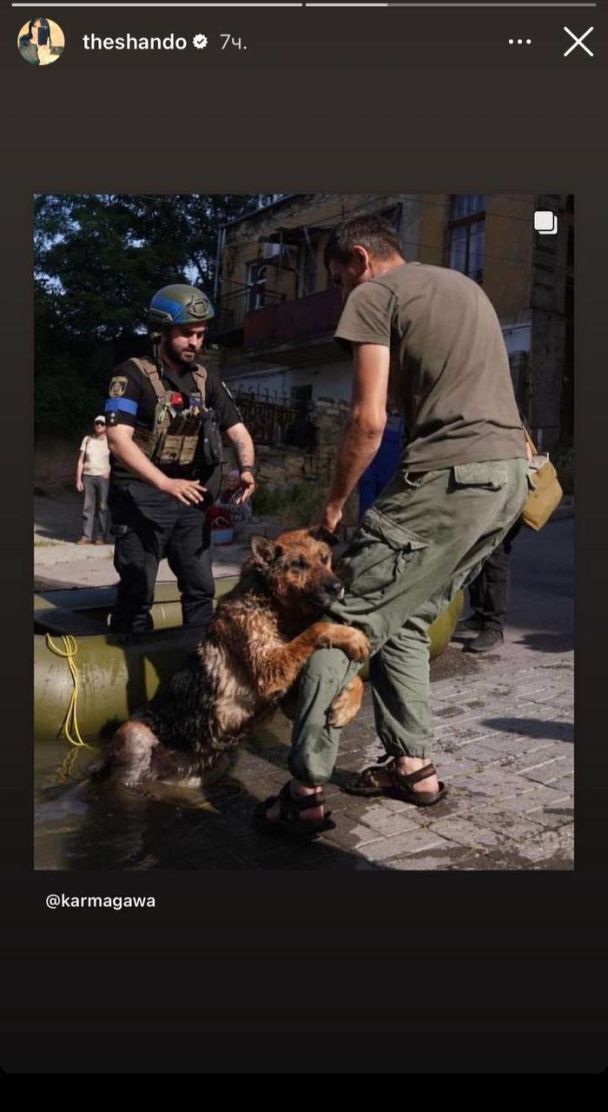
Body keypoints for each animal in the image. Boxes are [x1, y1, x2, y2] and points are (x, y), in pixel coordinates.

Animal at [93, 529, 371, 791]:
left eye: (324, 559)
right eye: (298, 565)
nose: (337, 586)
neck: (271, 603)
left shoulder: (290, 697)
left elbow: (355, 679)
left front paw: (346, 706)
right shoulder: (269, 670)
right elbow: (315, 630)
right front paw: (352, 635)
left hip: (207, 770)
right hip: (135, 735)